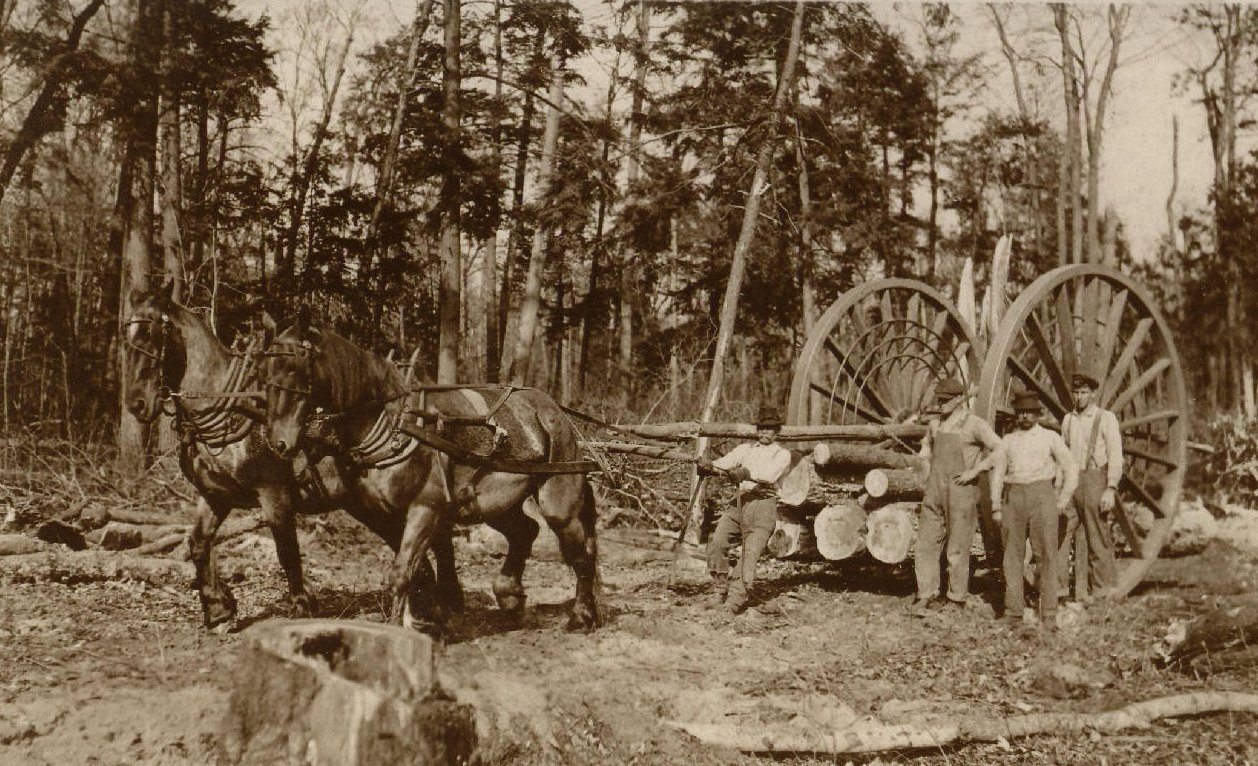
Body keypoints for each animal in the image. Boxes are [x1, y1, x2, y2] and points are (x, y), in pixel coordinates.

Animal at [120, 284, 465, 631]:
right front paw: (219, 610)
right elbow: (199, 544)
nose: (136, 403)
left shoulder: (274, 492)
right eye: (127, 336)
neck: (231, 407)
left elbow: (286, 550)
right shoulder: (215, 495)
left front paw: (302, 605)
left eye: (152, 333)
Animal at [257, 313, 601, 636]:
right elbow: (418, 570)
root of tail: (552, 408)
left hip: (558, 498)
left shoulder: (426, 508)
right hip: (493, 503)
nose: (279, 441)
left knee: (580, 553)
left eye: (296, 368)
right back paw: (510, 595)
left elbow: (402, 573)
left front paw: (403, 628)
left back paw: (582, 616)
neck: (393, 423)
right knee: (525, 531)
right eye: (265, 373)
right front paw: (430, 619)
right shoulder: (382, 514)